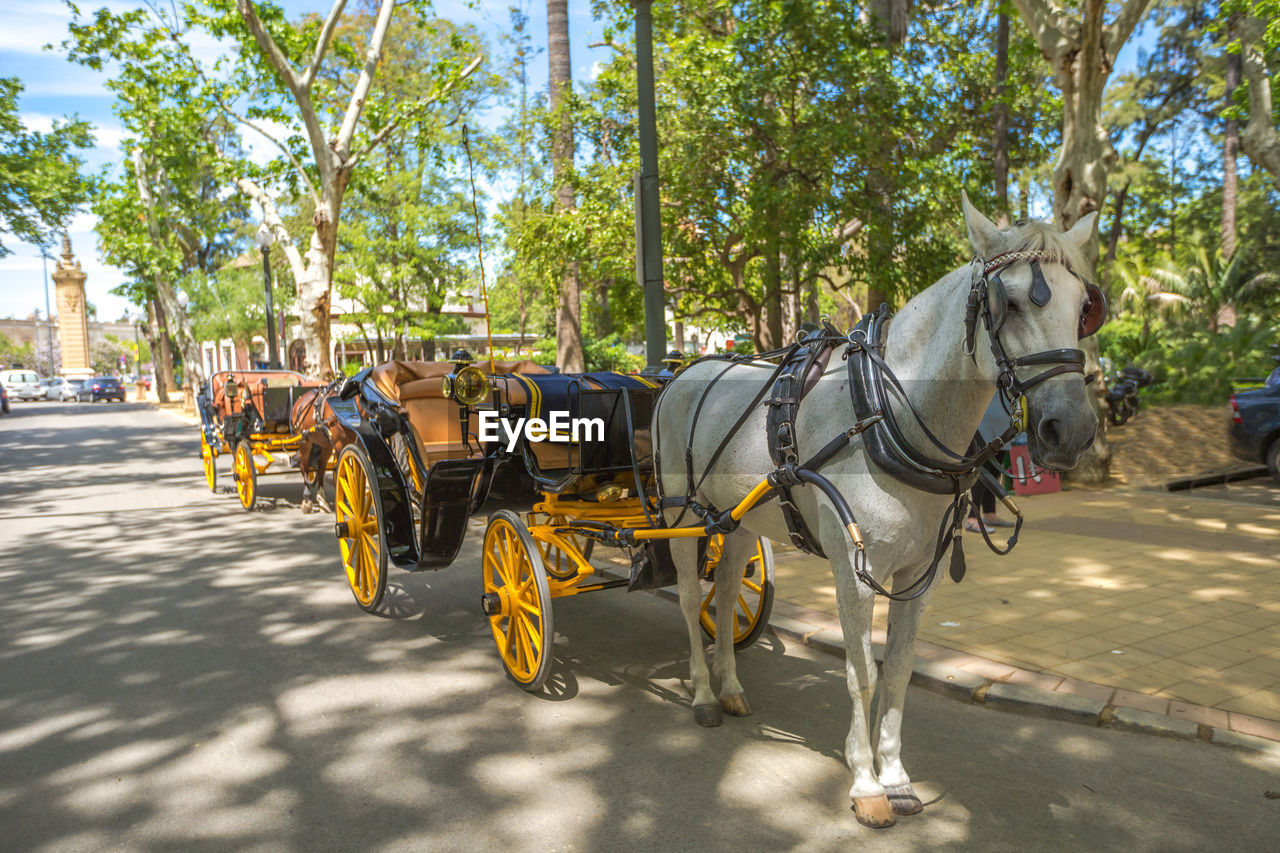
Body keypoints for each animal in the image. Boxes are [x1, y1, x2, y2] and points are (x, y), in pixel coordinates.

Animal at [660, 195, 1100, 824]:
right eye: (1009, 303)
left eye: (1084, 307)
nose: (1073, 430)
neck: (884, 412)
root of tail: (683, 370)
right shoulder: (854, 571)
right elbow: (861, 671)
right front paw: (866, 783)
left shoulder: (920, 573)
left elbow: (898, 670)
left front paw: (894, 775)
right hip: (683, 513)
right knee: (689, 595)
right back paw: (701, 692)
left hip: (739, 518)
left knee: (721, 593)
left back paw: (732, 687)